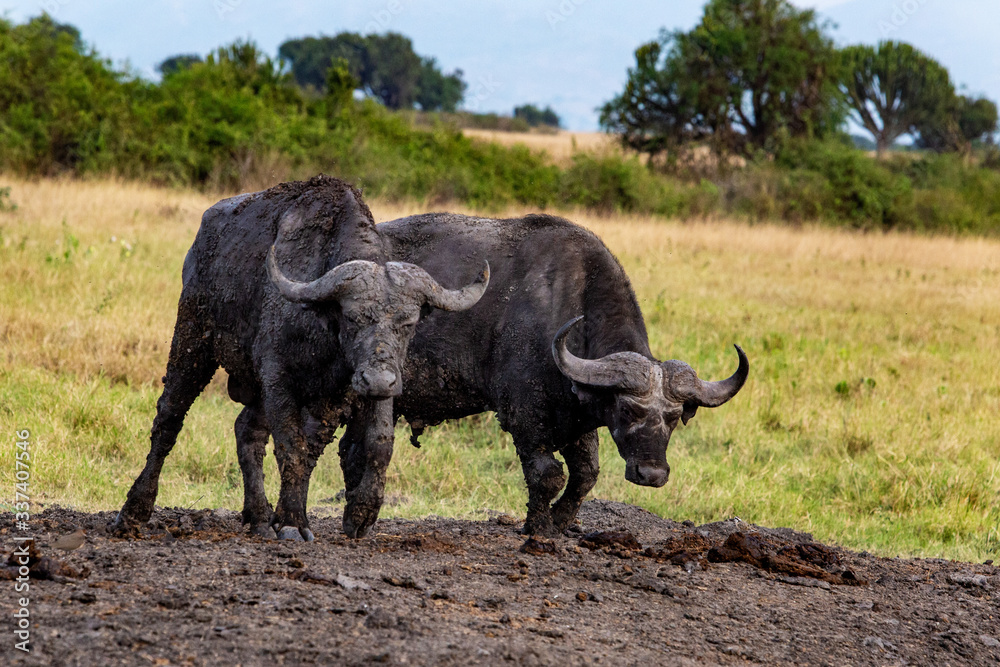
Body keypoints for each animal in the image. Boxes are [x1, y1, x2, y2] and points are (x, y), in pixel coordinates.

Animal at [113, 177, 488, 540]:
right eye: (352, 317)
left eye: (408, 322)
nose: (378, 379)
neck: (321, 324)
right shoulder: (279, 379)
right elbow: (291, 446)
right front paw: (293, 522)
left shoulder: (358, 389)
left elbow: (374, 443)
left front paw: (361, 513)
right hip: (192, 339)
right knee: (168, 420)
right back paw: (133, 512)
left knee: (247, 431)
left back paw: (259, 518)